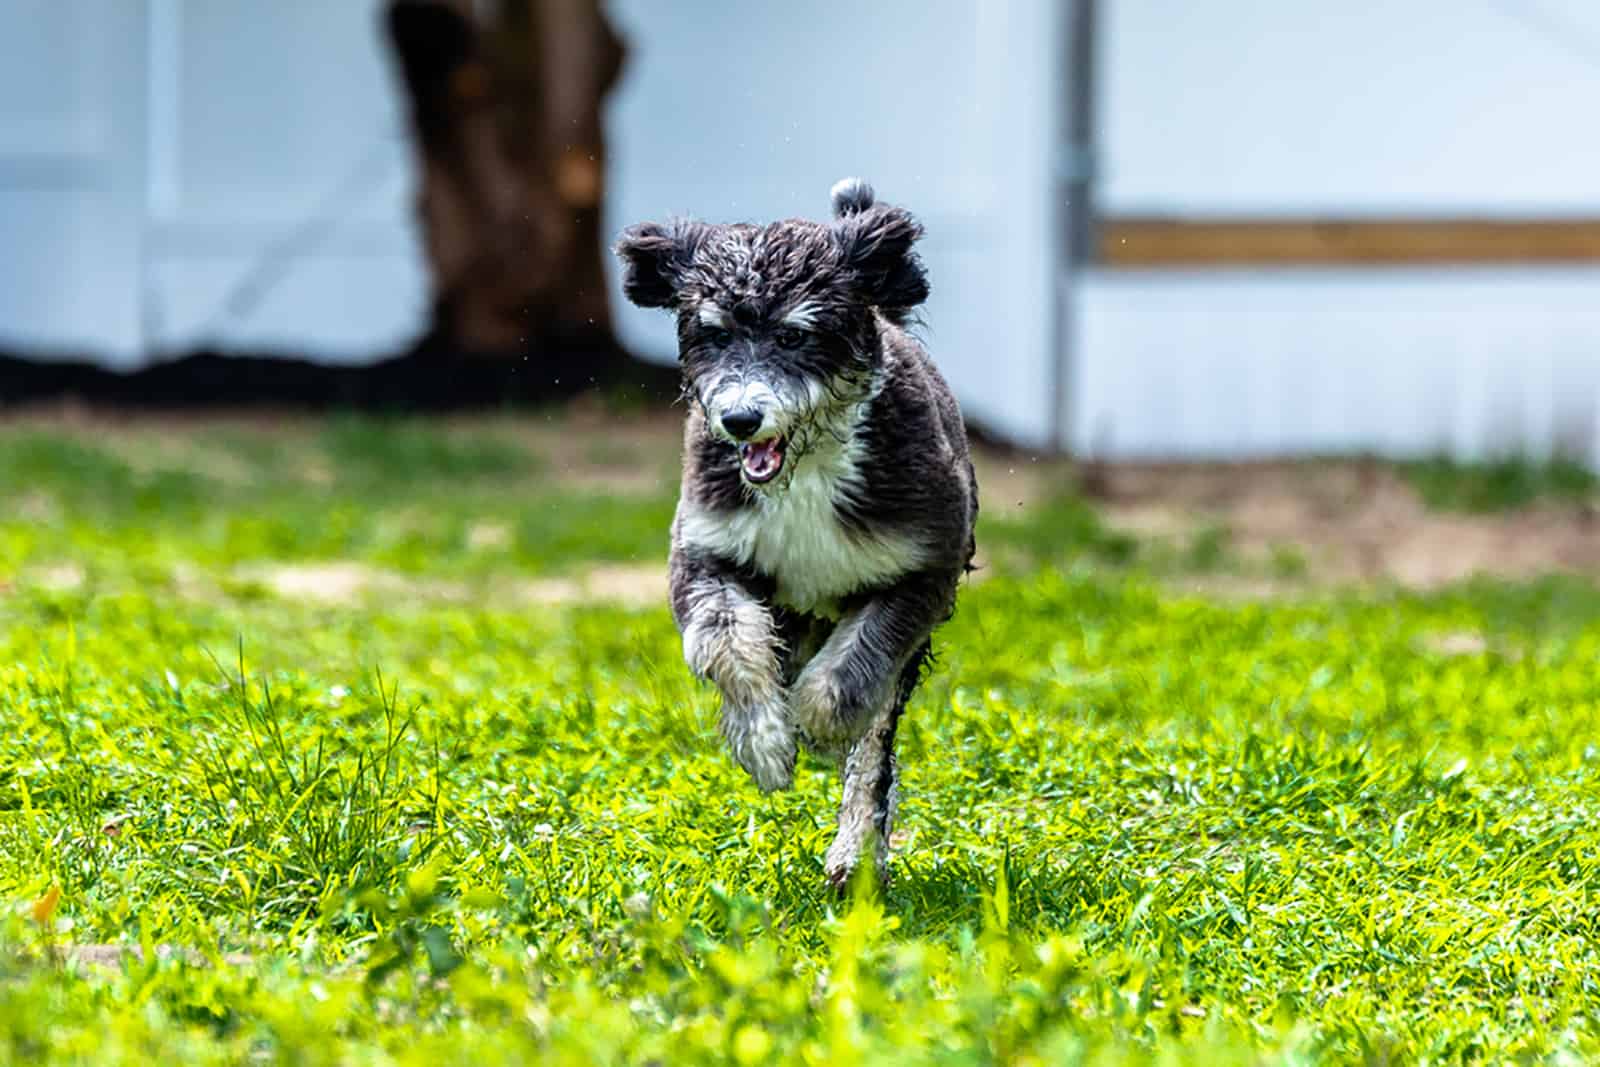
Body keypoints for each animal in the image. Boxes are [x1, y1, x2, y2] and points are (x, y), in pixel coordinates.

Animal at [614, 179, 972, 889]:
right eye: (713, 333)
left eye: (793, 334)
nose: (740, 419)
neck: (804, 472)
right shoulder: (705, 551)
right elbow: (726, 642)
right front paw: (767, 744)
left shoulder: (921, 567)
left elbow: (854, 674)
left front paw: (817, 725)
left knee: (874, 745)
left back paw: (855, 851)